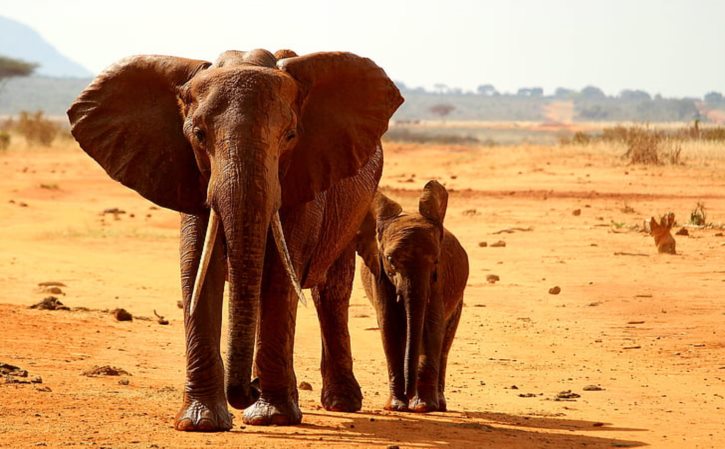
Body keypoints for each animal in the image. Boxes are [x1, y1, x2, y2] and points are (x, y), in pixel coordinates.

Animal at [67, 49, 402, 430]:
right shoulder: (188, 175)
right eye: (198, 135)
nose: (247, 390)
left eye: (290, 135)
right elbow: (197, 268)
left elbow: (279, 275)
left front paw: (271, 417)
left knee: (330, 291)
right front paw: (200, 423)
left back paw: (339, 402)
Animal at [356, 180, 470, 412]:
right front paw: (397, 406)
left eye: (436, 260)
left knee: (445, 342)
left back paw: (439, 404)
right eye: (390, 259)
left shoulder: (438, 280)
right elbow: (389, 326)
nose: (409, 395)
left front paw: (423, 407)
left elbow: (431, 325)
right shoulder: (379, 274)